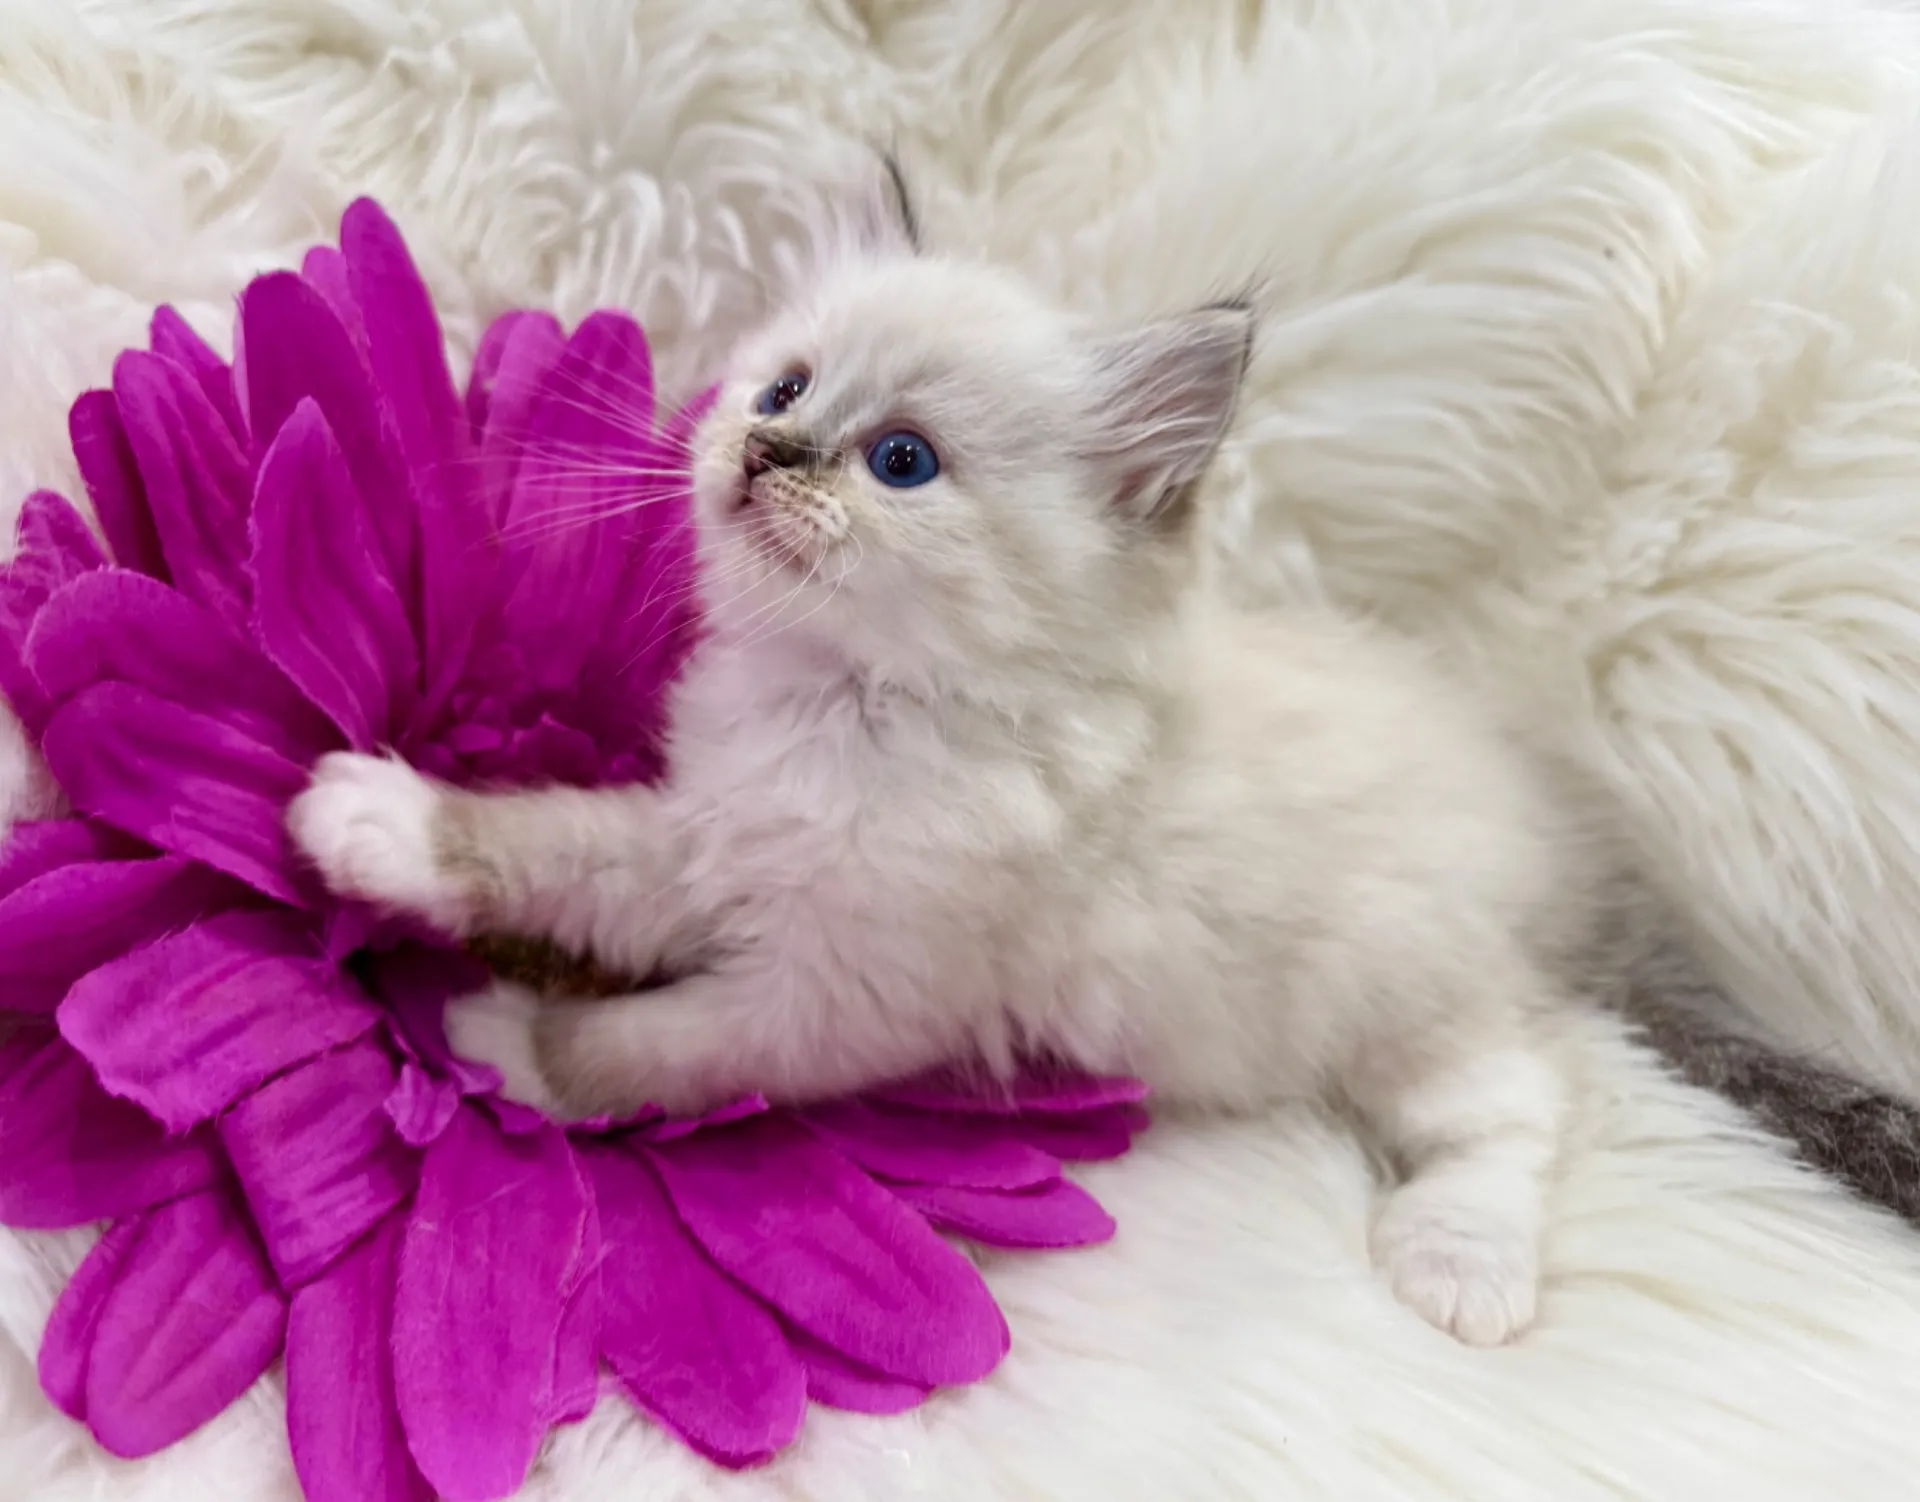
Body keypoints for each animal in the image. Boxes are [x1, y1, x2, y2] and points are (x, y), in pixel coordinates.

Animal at [286, 180, 1920, 1347]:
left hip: (1412, 998)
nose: (765, 454)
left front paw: (506, 1046)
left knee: (1511, 1112)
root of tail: (1568, 847)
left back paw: (1459, 1269)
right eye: (785, 390)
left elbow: (647, 1050)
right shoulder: (705, 840)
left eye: (900, 462)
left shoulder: (844, 995)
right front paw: (374, 823)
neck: (845, 707)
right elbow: (552, 846)